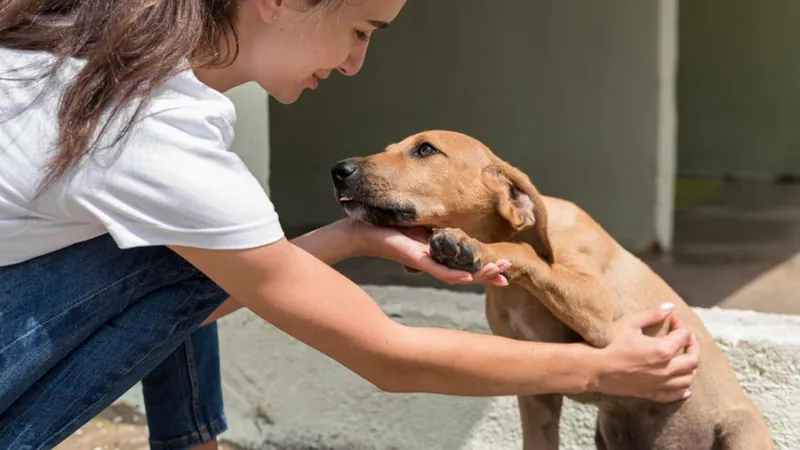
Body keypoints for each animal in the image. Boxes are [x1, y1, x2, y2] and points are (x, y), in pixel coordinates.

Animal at [328, 130, 772, 450]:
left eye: (425, 150)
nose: (339, 169)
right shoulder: (536, 388)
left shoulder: (599, 313)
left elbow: (524, 252)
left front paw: (472, 248)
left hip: (741, 429)